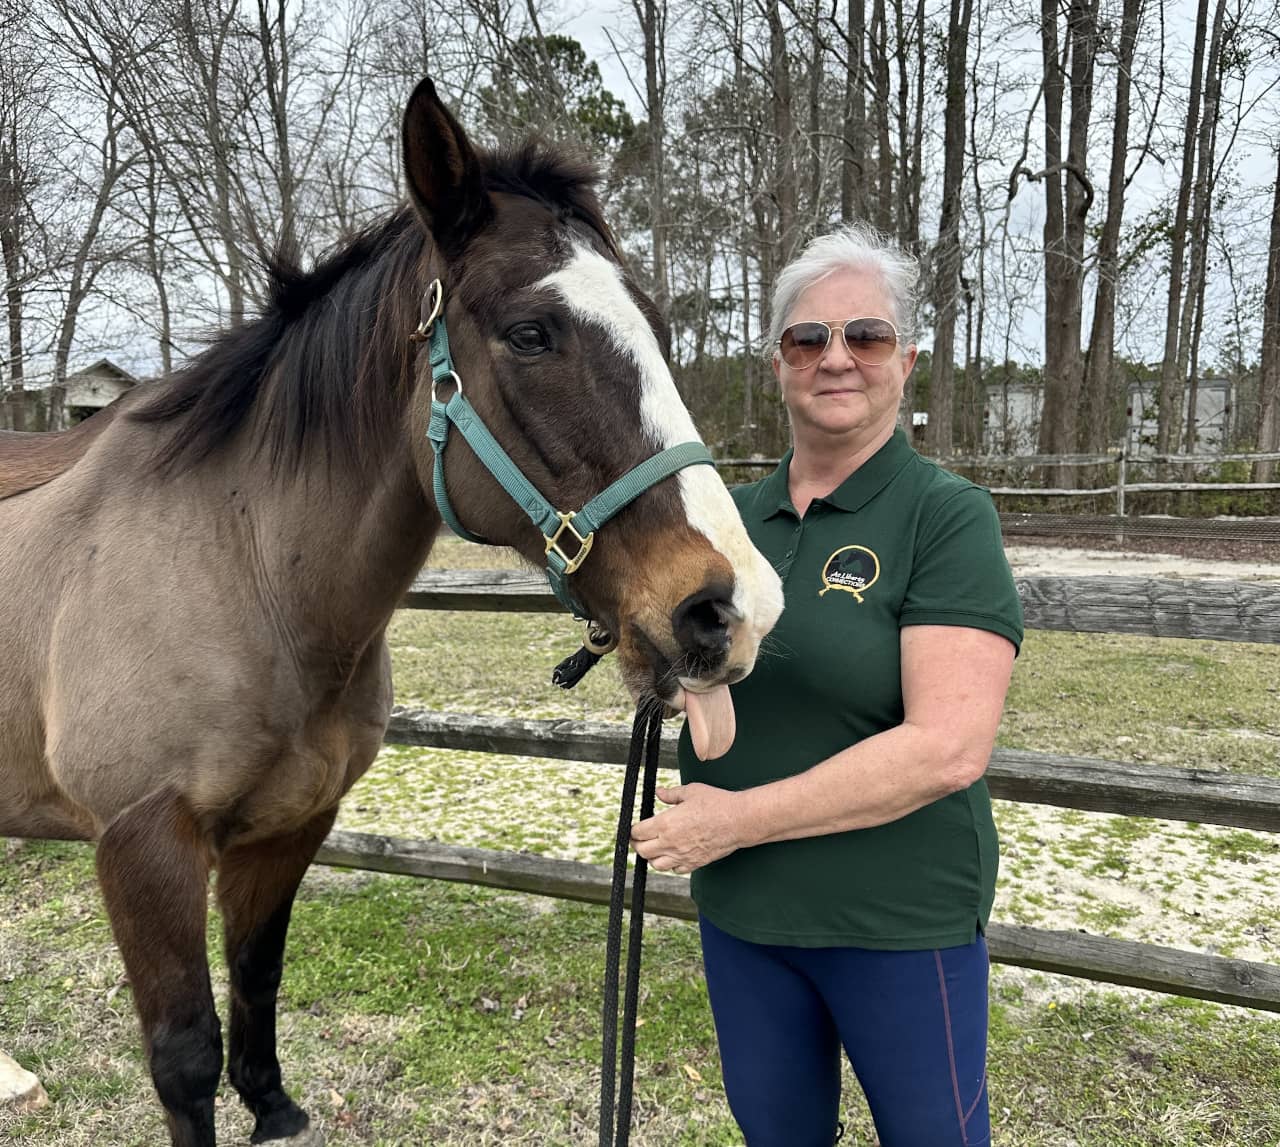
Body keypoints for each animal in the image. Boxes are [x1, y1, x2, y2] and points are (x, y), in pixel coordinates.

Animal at [0, 76, 783, 1141]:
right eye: (530, 333)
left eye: (658, 331)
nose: (731, 607)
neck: (248, 573)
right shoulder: (142, 845)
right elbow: (186, 1058)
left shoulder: (290, 829)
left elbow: (257, 988)